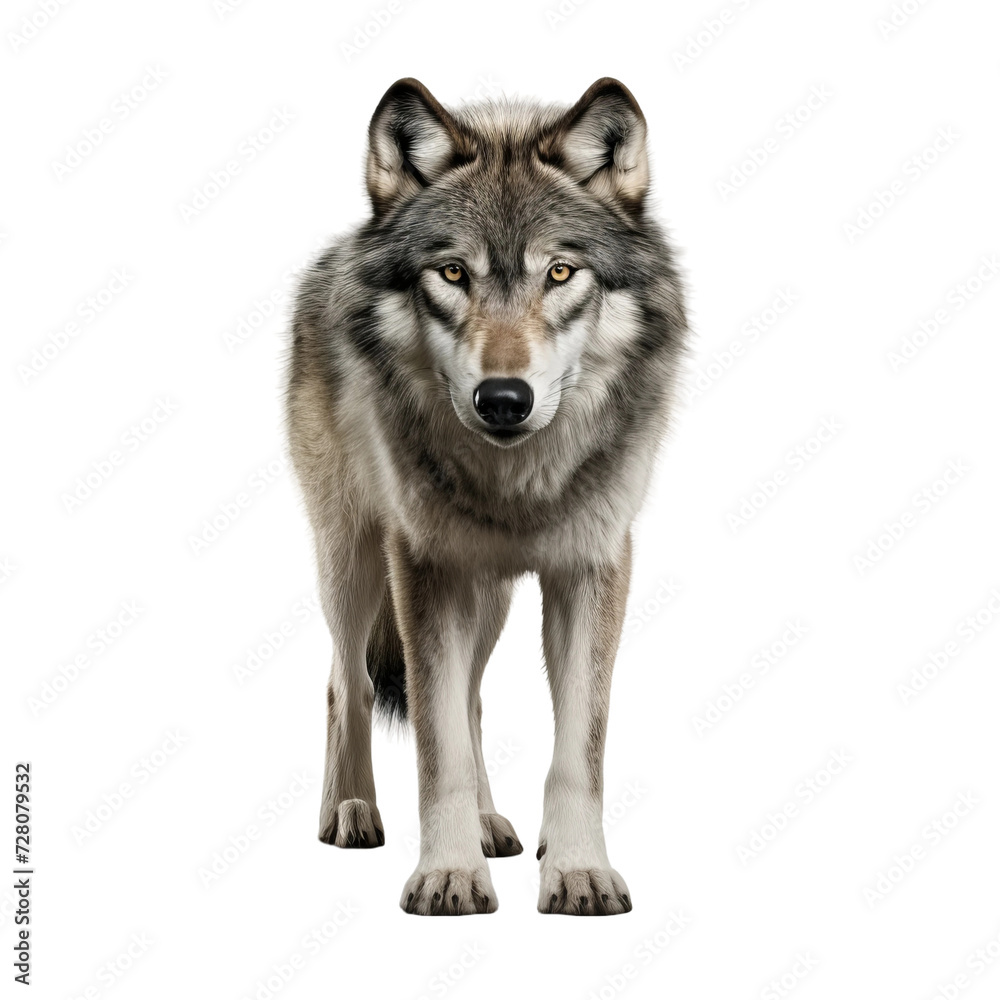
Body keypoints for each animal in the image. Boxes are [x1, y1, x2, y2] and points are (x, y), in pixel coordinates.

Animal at [284, 77, 687, 915]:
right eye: (452, 274)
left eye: (560, 273)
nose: (504, 399)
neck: (519, 482)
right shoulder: (425, 565)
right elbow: (434, 744)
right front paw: (448, 873)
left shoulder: (593, 568)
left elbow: (577, 746)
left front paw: (577, 870)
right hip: (354, 561)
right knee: (347, 682)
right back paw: (352, 810)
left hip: (488, 595)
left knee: (468, 698)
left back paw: (490, 823)